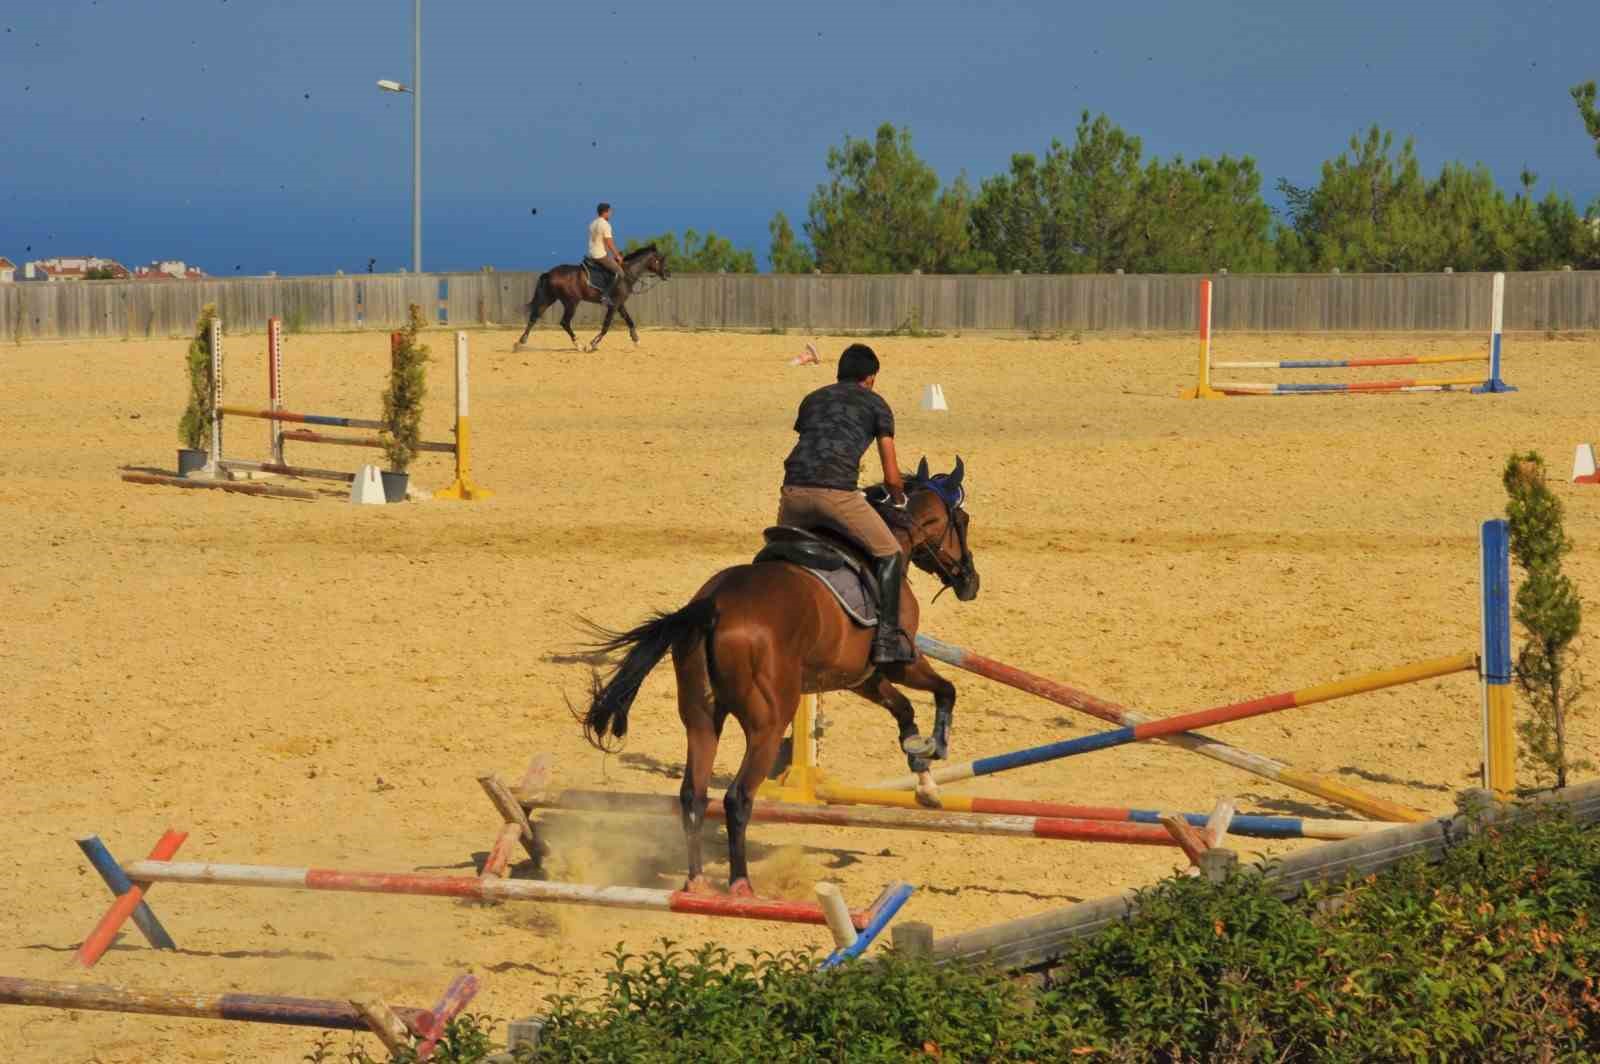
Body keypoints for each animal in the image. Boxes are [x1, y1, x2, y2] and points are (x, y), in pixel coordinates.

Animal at [508, 244, 665, 352]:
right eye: (660, 260)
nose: (667, 274)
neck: (626, 273)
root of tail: (550, 273)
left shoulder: (619, 304)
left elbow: (629, 321)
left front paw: (636, 340)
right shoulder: (613, 305)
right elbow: (606, 326)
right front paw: (593, 344)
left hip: (549, 298)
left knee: (534, 317)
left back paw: (519, 343)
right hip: (571, 302)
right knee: (564, 322)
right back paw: (579, 345)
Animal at [576, 457, 972, 896]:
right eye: (963, 521)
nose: (970, 583)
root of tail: (713, 605)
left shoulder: (859, 676)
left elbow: (903, 710)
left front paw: (925, 781)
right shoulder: (898, 661)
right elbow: (945, 691)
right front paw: (935, 748)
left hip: (701, 717)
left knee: (693, 795)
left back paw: (697, 883)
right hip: (768, 723)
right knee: (736, 798)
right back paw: (740, 884)